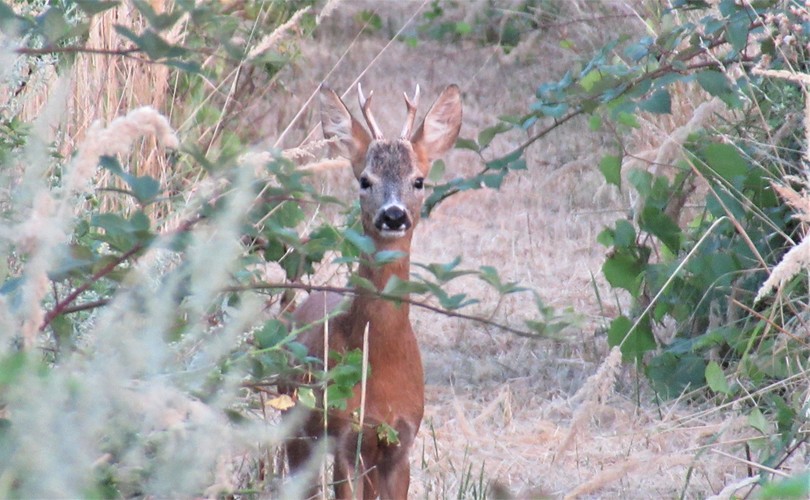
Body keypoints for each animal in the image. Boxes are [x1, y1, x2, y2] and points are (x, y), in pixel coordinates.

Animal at [286, 83, 460, 500]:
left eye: (419, 180)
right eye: (364, 180)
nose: (393, 215)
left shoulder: (401, 440)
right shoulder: (345, 437)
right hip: (294, 422)